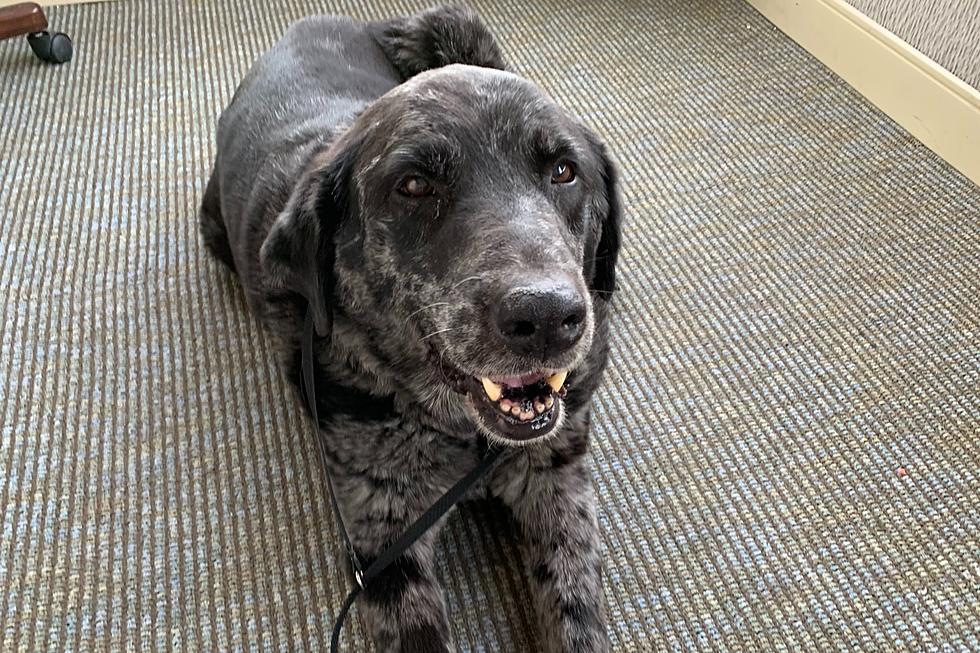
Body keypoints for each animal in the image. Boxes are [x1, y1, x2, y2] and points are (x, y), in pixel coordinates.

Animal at [199, 6, 620, 652]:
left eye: (564, 171)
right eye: (415, 185)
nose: (548, 316)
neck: (468, 438)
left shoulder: (558, 479)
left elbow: (574, 604)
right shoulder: (384, 534)